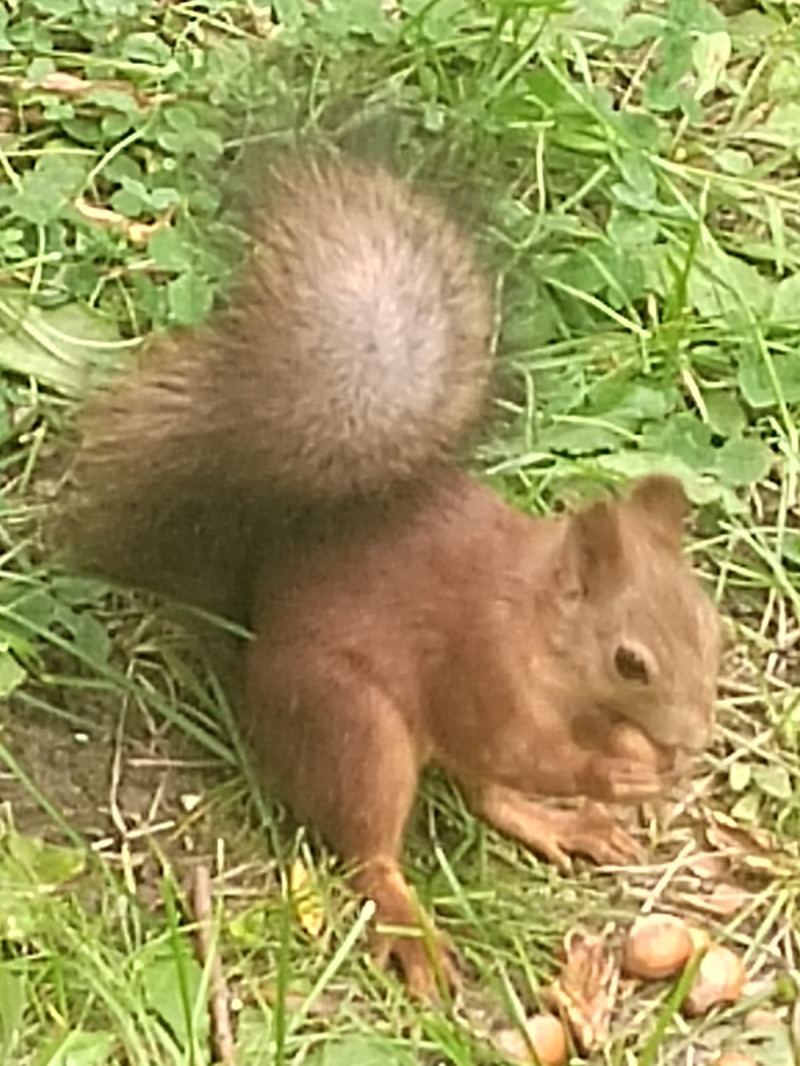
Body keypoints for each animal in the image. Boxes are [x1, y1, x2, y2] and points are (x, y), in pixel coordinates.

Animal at [57, 156, 722, 998]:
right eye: (630, 661)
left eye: (711, 627)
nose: (695, 741)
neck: (541, 625)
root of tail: (270, 577)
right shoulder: (482, 666)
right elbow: (518, 749)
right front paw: (613, 772)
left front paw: (643, 763)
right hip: (353, 725)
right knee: (376, 843)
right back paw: (413, 929)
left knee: (487, 793)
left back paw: (558, 824)